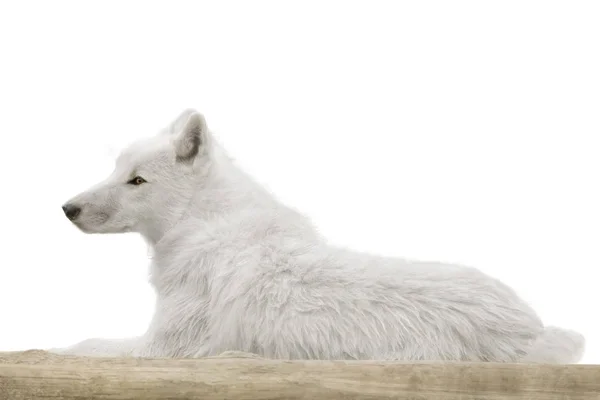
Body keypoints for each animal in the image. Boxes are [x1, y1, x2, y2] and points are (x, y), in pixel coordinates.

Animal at [55, 108, 580, 362]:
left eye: (137, 181)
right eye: (116, 170)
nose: (67, 208)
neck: (202, 224)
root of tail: (532, 327)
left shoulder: (161, 348)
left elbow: (79, 346)